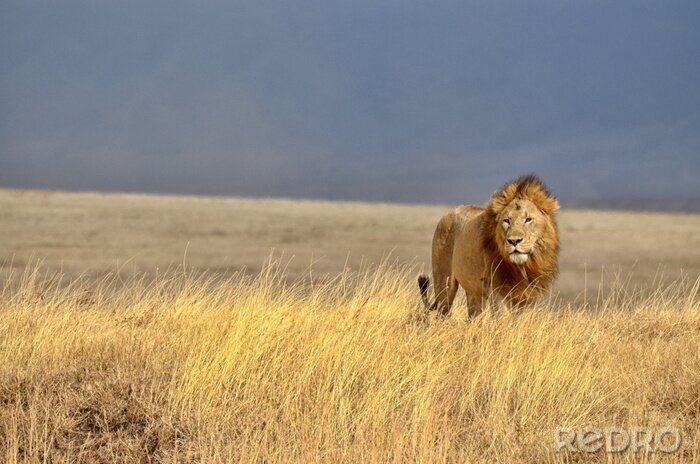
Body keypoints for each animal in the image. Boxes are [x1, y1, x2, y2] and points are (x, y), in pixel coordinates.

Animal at [418, 175, 559, 317]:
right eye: (506, 221)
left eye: (528, 219)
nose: (514, 241)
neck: (521, 266)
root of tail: (448, 213)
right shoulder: (496, 290)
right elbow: (503, 318)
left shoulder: (528, 295)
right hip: (445, 283)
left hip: (473, 291)